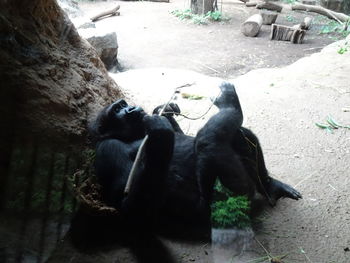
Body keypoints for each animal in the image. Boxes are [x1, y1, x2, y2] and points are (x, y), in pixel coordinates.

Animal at [78, 83, 300, 245]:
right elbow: (130, 210)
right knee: (208, 141)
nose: (131, 108)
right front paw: (160, 132)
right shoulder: (108, 150)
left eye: (123, 104)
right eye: (117, 109)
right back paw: (230, 104)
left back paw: (271, 186)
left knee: (238, 134)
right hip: (219, 208)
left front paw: (165, 110)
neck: (131, 134)